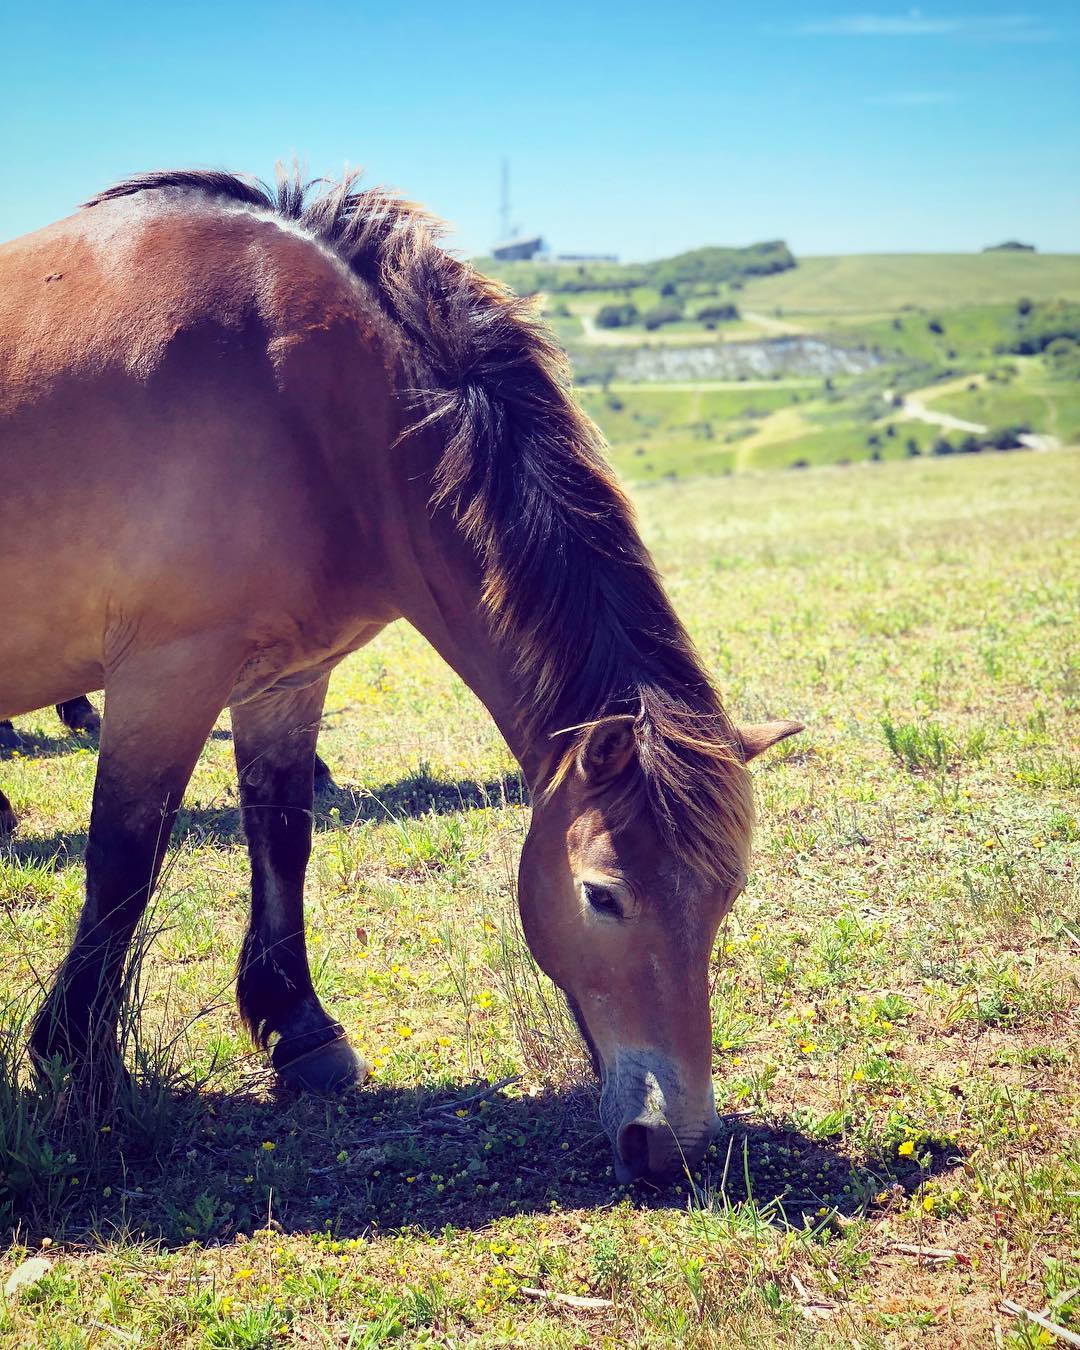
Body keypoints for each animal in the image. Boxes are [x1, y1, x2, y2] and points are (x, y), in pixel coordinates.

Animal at [0, 168, 793, 1182]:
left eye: (725, 895)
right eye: (603, 895)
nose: (672, 1145)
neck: (301, 398)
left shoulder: (284, 682)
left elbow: (283, 837)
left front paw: (301, 1031)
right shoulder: (166, 675)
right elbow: (122, 864)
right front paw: (81, 1066)